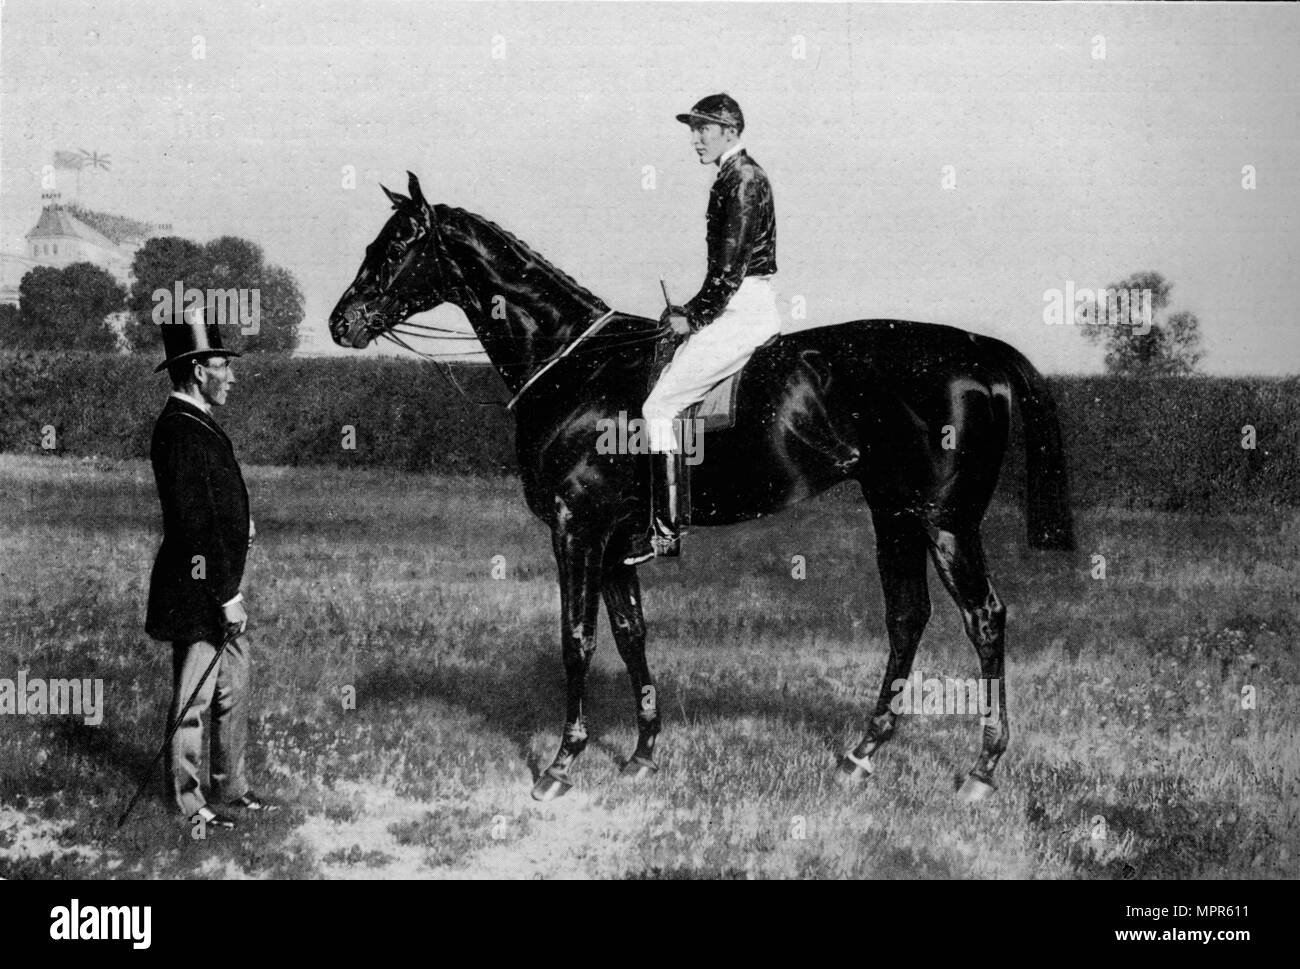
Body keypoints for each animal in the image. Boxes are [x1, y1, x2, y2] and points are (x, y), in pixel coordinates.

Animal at [330, 171, 1071, 801]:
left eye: (397, 244)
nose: (342, 322)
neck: (577, 366)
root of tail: (978, 350)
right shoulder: (616, 542)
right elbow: (630, 634)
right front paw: (641, 753)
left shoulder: (578, 527)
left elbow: (577, 638)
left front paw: (562, 764)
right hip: (893, 513)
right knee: (907, 617)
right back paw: (861, 753)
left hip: (946, 523)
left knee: (984, 618)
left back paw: (982, 768)